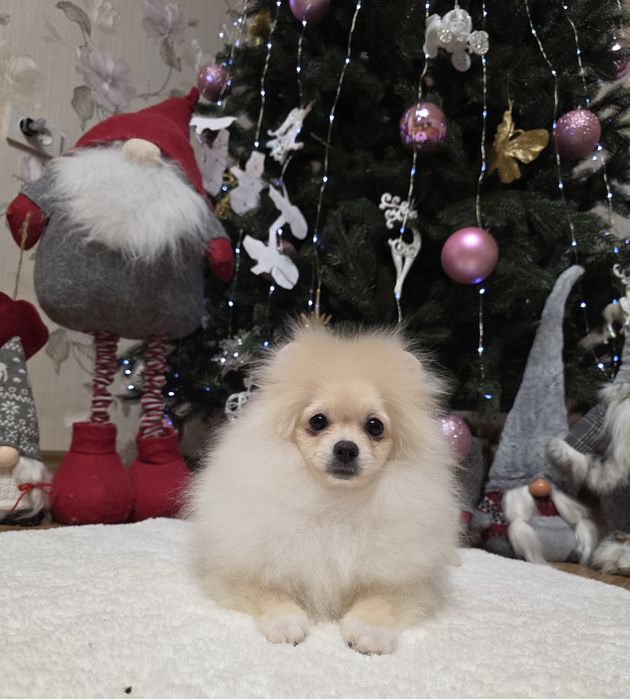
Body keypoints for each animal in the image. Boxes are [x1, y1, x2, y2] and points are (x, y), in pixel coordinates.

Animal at [188, 324, 459, 654]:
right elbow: (270, 592)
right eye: (318, 421)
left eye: (375, 426)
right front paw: (285, 622)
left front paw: (370, 631)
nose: (346, 448)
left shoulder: (404, 580)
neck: (336, 502)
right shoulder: (242, 570)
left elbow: (379, 599)